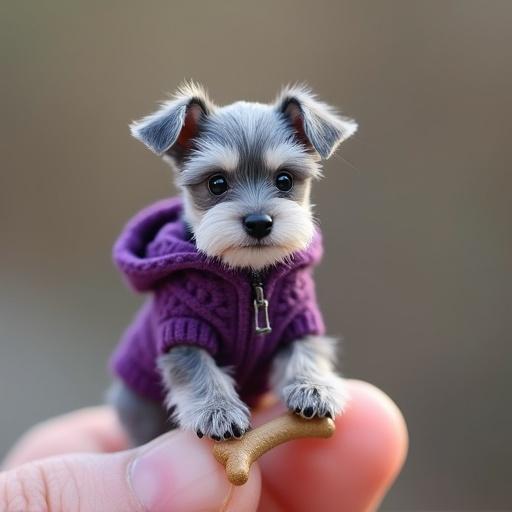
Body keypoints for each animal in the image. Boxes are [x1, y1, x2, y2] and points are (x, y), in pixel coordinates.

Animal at [108, 83, 356, 444]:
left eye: (284, 180)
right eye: (216, 183)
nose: (258, 222)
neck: (251, 276)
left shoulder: (298, 320)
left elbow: (307, 352)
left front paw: (314, 388)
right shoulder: (183, 329)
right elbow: (199, 372)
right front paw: (218, 411)